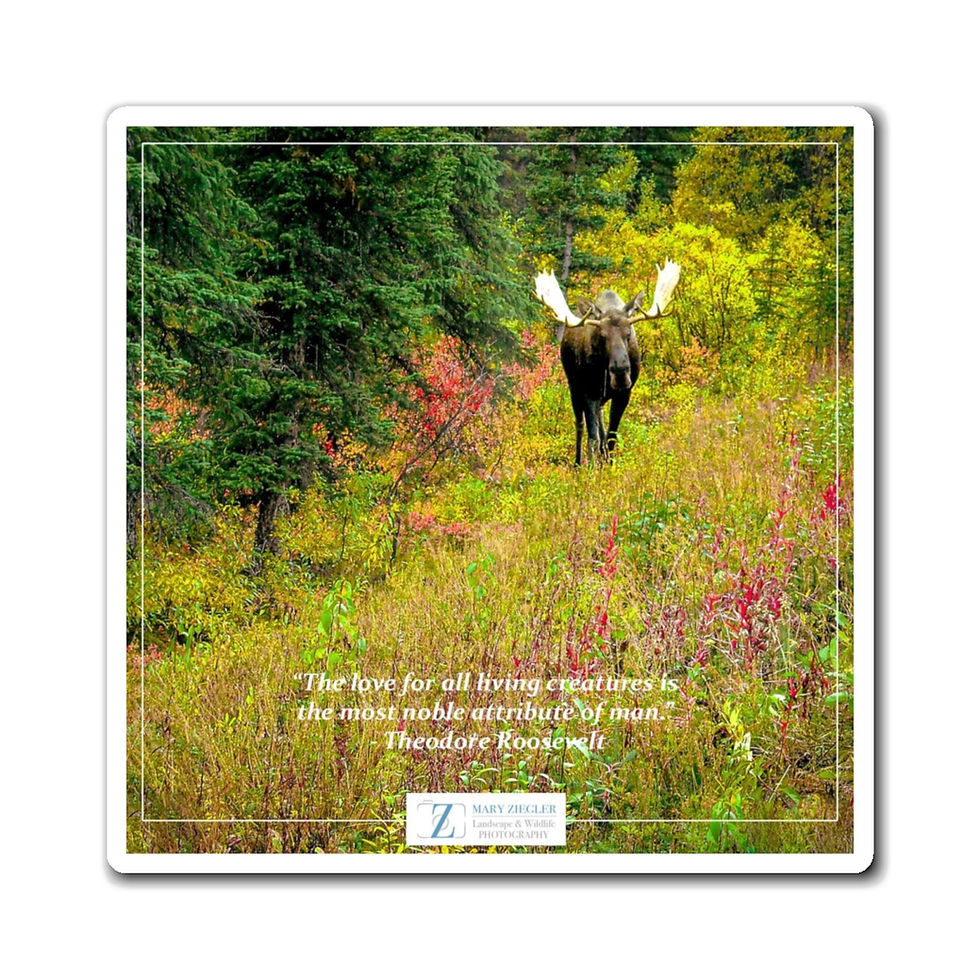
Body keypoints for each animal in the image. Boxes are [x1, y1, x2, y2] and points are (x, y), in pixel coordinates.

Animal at [534, 261, 680, 465]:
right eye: (602, 336)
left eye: (628, 334)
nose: (620, 371)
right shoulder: (589, 392)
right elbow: (592, 436)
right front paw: (591, 467)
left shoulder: (624, 393)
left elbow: (611, 436)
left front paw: (610, 465)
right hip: (574, 387)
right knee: (580, 425)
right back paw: (578, 463)